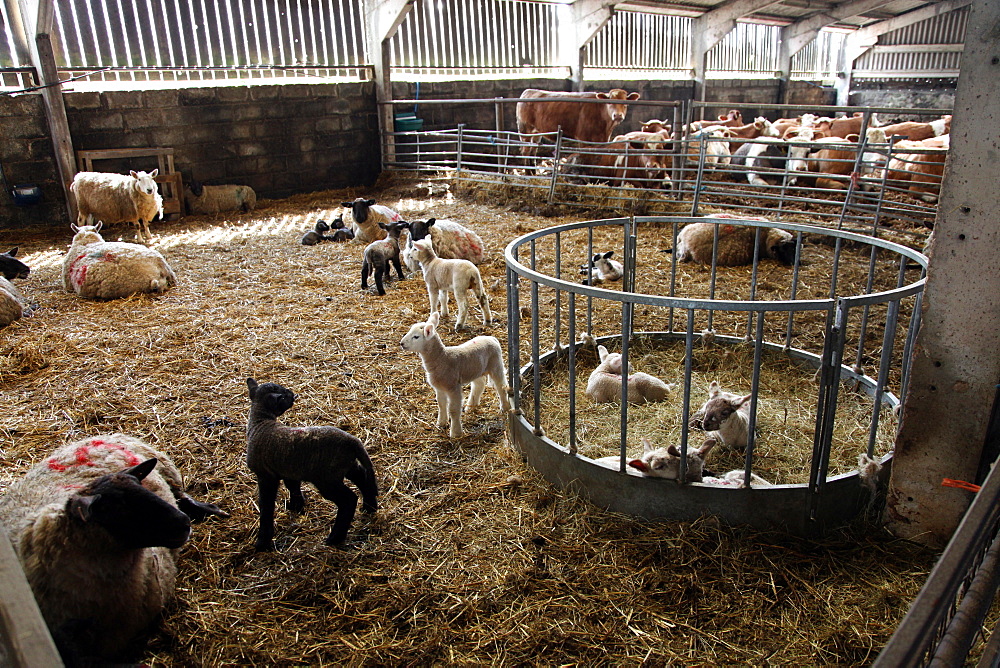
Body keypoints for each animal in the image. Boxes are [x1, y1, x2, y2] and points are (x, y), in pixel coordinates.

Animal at [0, 434, 228, 664]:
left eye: (142, 488)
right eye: (120, 509)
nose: (183, 523)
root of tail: (101, 436)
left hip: (167, 471)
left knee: (180, 495)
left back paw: (210, 509)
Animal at [398, 312, 512, 440]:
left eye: (416, 336)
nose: (401, 343)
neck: (442, 358)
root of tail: (492, 338)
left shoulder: (453, 387)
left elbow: (453, 409)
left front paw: (455, 433)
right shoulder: (439, 388)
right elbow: (441, 405)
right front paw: (441, 423)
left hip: (496, 364)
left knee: (501, 385)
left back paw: (505, 407)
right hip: (475, 368)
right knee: (479, 384)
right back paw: (471, 406)